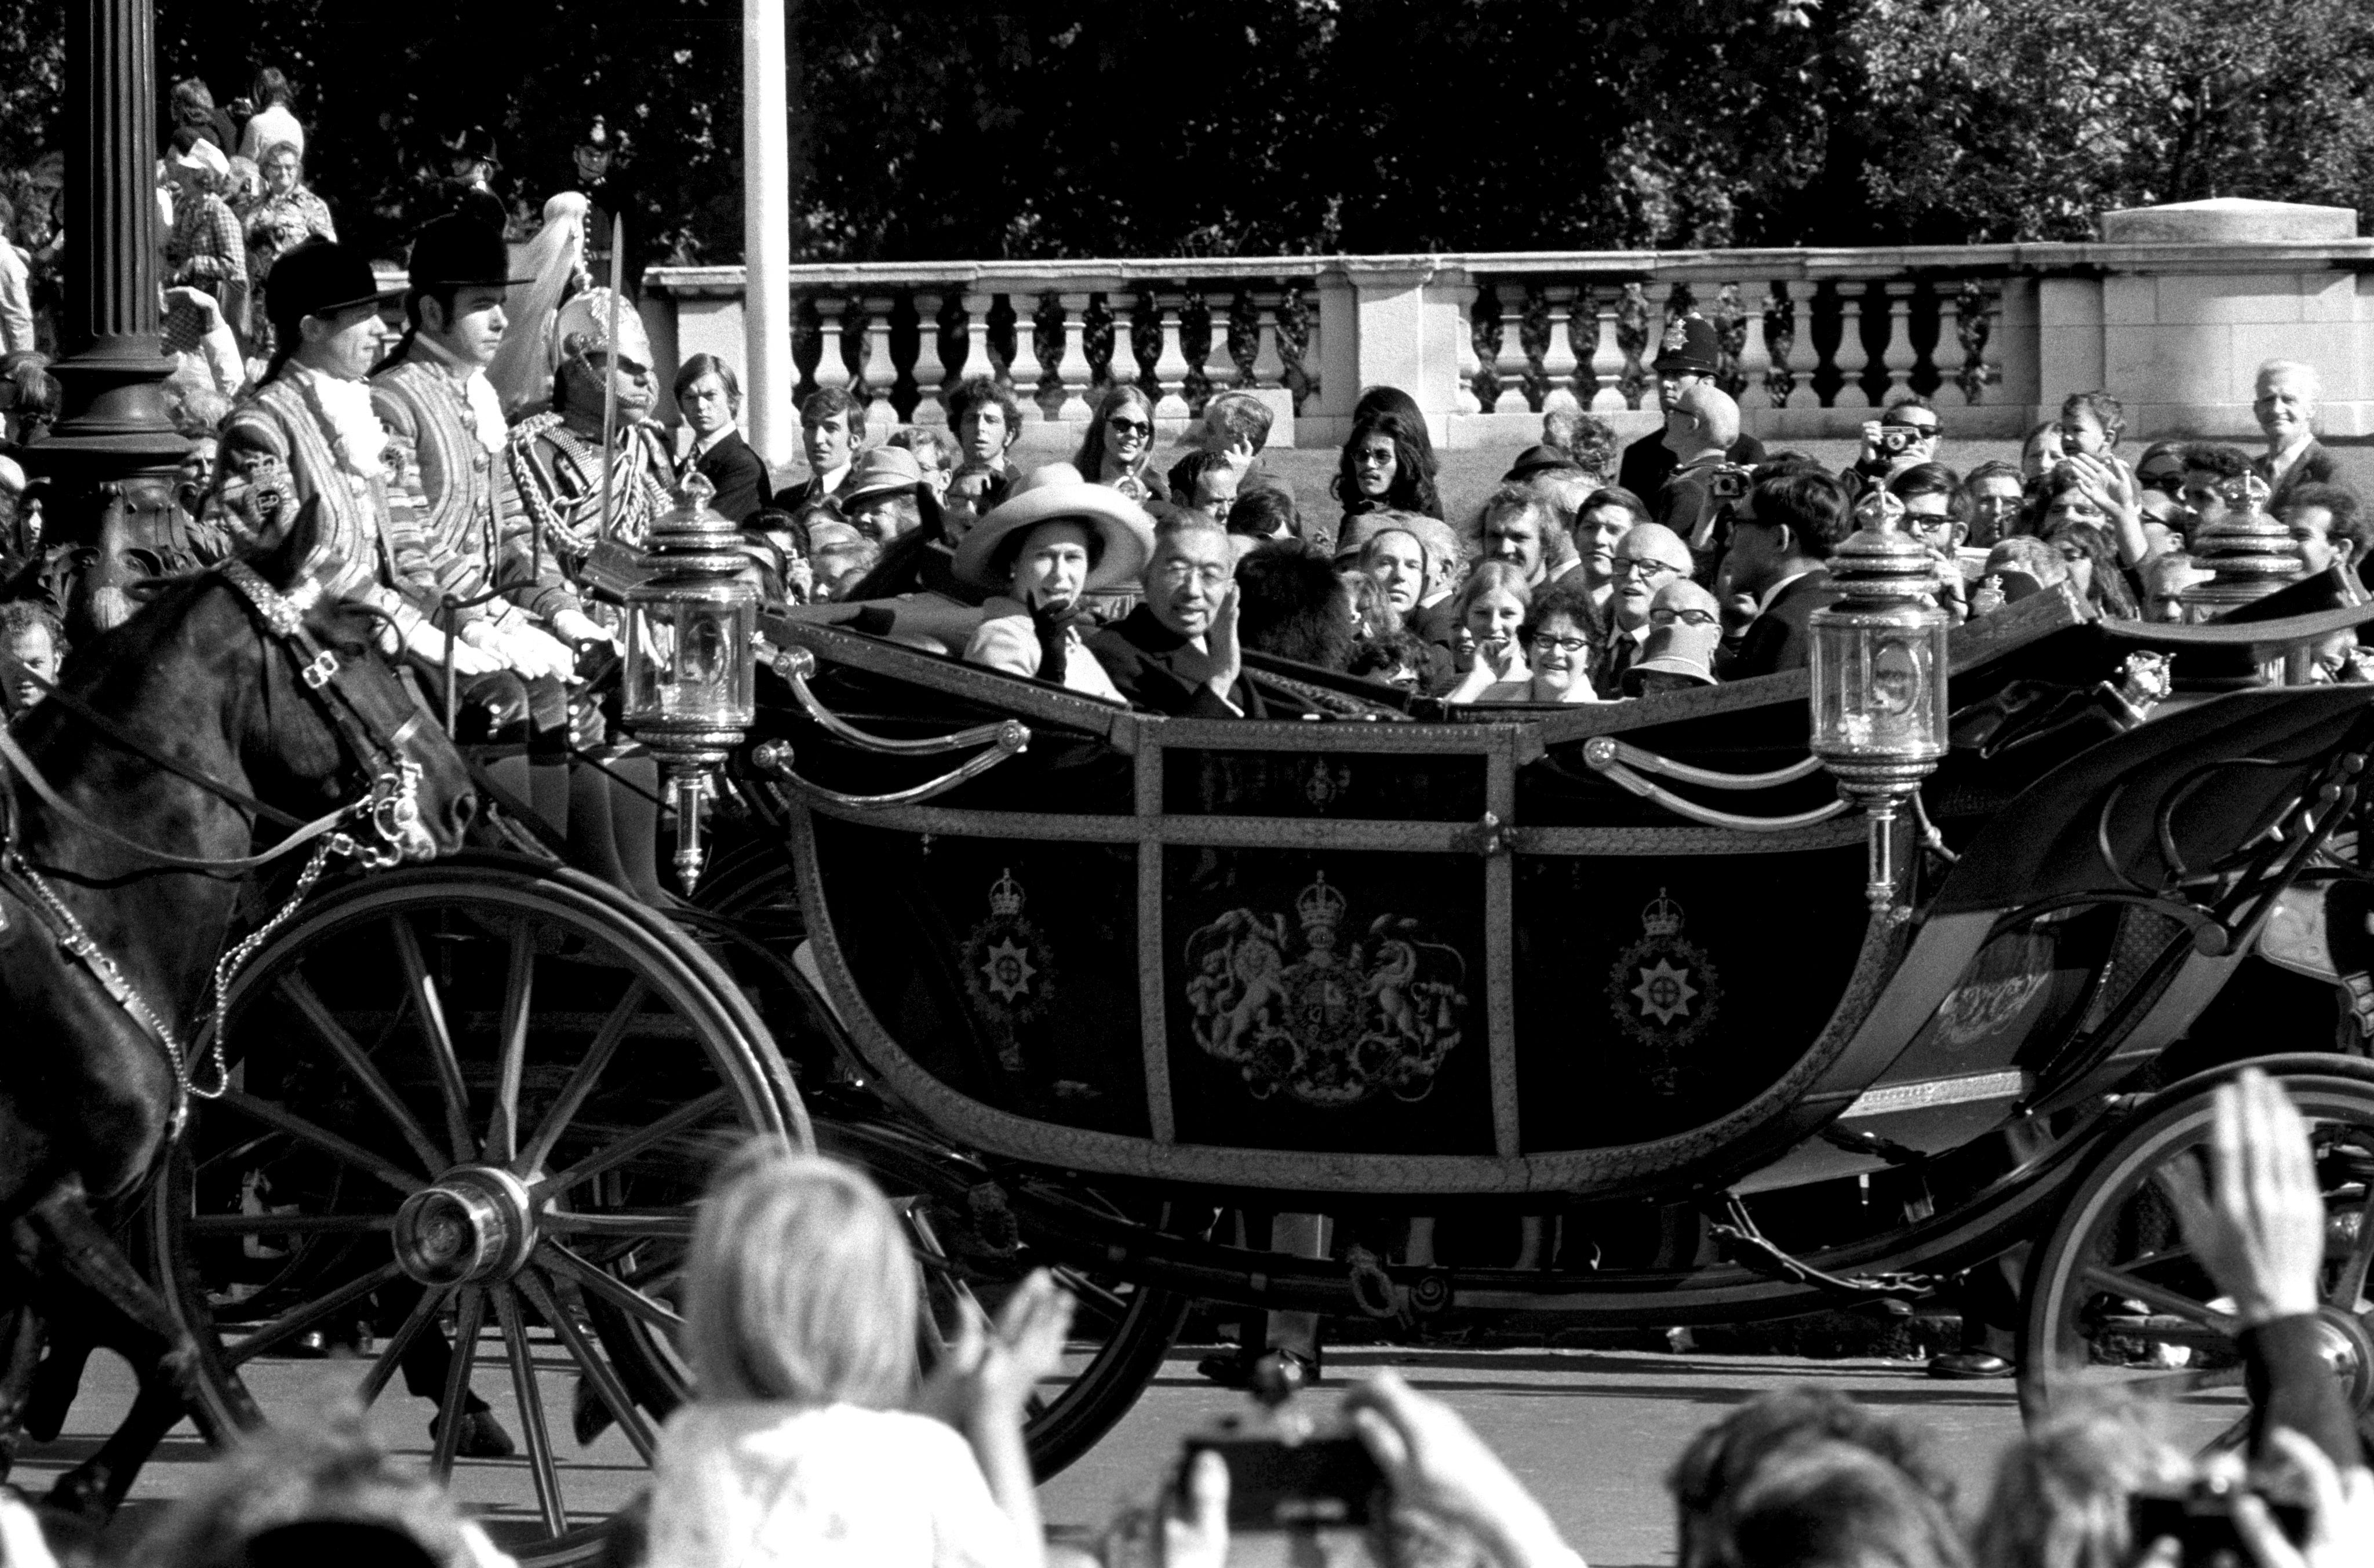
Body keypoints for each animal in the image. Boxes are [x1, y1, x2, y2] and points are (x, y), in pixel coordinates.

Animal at [0, 508, 477, 1508]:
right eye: (360, 641)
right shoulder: (42, 1211)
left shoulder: (43, 1230)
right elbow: (179, 1350)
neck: (81, 906)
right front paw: (88, 1484)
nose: (459, 798)